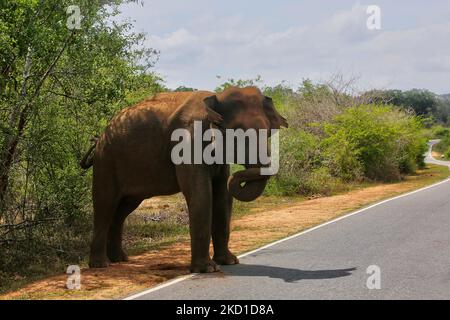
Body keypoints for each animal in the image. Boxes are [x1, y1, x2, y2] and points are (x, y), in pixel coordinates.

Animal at [80, 85, 288, 272]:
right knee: (105, 204)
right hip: (106, 160)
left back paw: (120, 259)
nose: (239, 178)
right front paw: (207, 269)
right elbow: (201, 195)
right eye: (237, 134)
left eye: (269, 133)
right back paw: (101, 265)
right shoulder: (187, 142)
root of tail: (99, 138)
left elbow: (222, 197)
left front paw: (229, 262)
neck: (216, 99)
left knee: (124, 208)